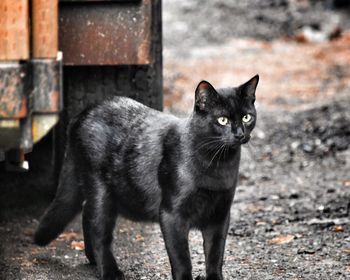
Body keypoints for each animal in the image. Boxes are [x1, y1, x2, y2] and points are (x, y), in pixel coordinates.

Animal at [34, 75, 260, 280]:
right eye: (223, 120)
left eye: (247, 117)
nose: (239, 134)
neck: (218, 166)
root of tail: (81, 114)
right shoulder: (172, 214)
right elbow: (182, 259)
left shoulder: (220, 216)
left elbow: (215, 255)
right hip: (100, 189)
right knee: (98, 229)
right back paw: (110, 271)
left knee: (86, 216)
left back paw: (92, 260)